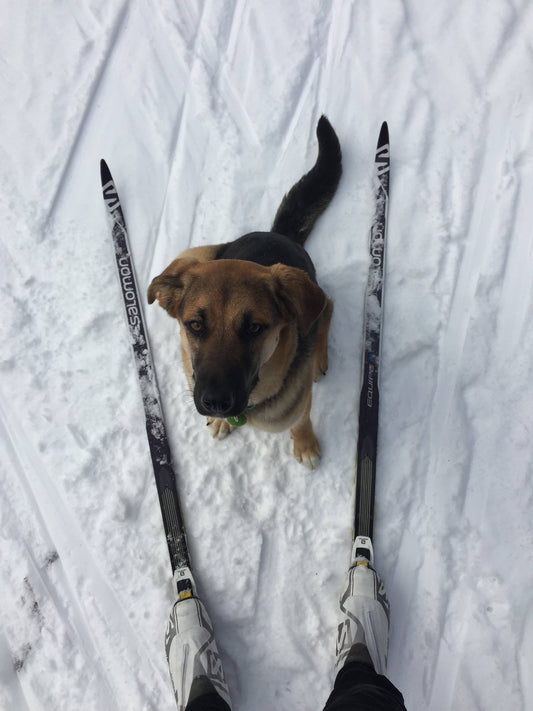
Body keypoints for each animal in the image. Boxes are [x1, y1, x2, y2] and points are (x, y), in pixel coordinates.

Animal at [148, 118, 340, 468]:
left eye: (254, 328)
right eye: (195, 325)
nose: (215, 403)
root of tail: (277, 234)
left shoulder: (299, 401)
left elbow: (301, 419)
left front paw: (305, 444)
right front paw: (222, 422)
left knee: (328, 306)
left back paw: (319, 357)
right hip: (195, 253)